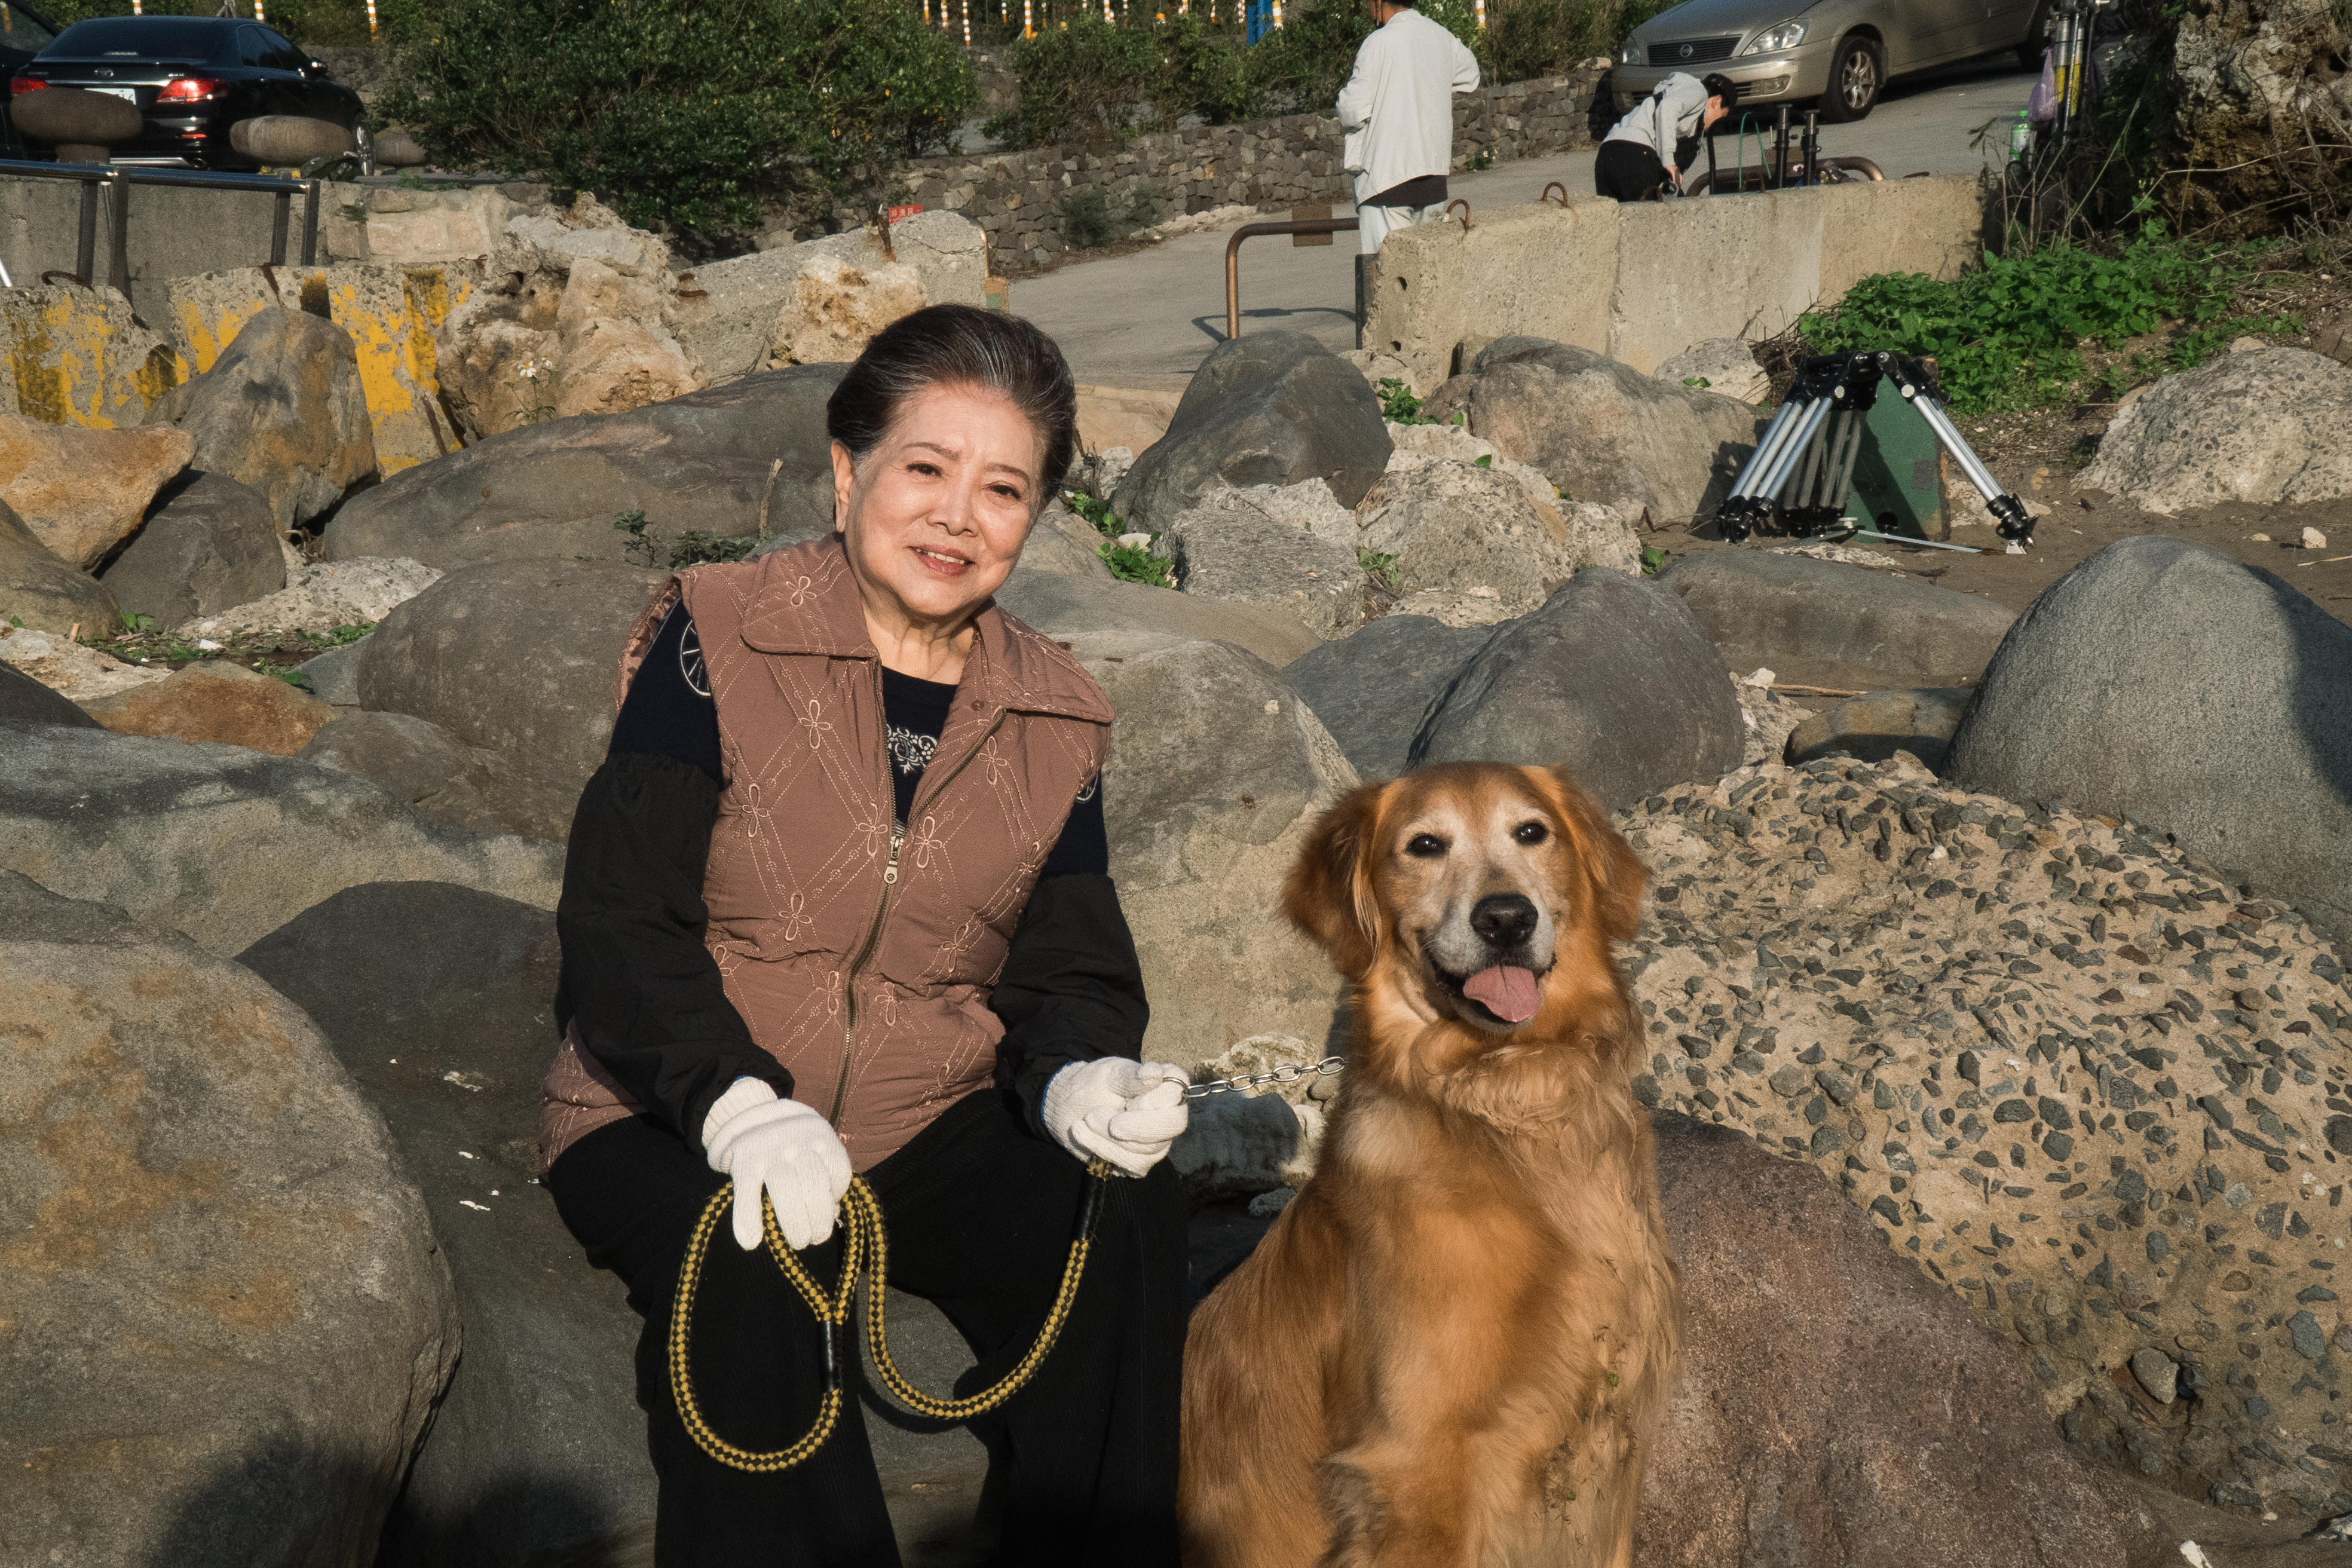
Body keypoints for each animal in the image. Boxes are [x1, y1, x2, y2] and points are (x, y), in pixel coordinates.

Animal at [1185, 771, 1684, 1568]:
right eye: (1424, 844)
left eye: (1532, 832)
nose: (1507, 918)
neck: (1511, 1100)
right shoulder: (1422, 1466)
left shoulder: (1614, 1453)